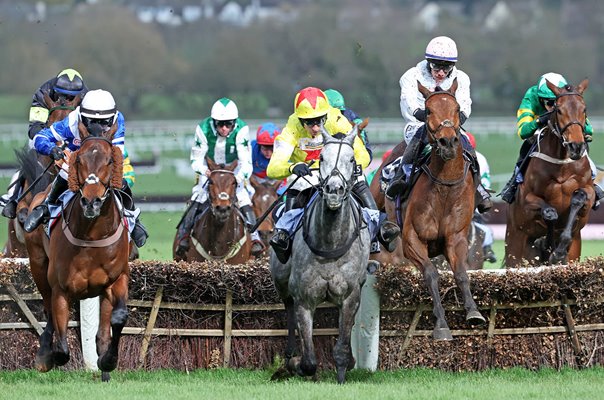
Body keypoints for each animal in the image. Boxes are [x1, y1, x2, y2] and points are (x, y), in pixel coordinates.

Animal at [24, 126, 129, 382]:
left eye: (110, 160)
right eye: (79, 159)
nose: (91, 202)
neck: (91, 237)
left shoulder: (116, 279)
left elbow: (119, 318)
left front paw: (108, 361)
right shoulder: (61, 288)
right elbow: (62, 348)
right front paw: (47, 357)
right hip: (38, 265)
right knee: (48, 310)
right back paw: (44, 354)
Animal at [270, 126, 372, 382]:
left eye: (351, 159)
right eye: (322, 158)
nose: (334, 190)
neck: (329, 244)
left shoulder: (350, 296)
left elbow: (342, 345)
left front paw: (345, 368)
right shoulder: (303, 298)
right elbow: (308, 361)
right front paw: (295, 364)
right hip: (281, 283)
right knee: (288, 311)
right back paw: (289, 354)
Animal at [386, 79, 486, 340]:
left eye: (457, 107)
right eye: (428, 110)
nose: (448, 142)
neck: (445, 187)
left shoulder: (456, 238)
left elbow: (461, 273)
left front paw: (473, 312)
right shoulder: (412, 240)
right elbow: (431, 274)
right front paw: (441, 324)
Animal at [502, 78, 592, 268]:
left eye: (584, 109)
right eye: (559, 110)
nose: (576, 146)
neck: (562, 163)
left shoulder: (589, 191)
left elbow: (579, 198)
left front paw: (558, 250)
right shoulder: (527, 200)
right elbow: (550, 213)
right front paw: (549, 246)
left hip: (575, 251)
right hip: (515, 248)